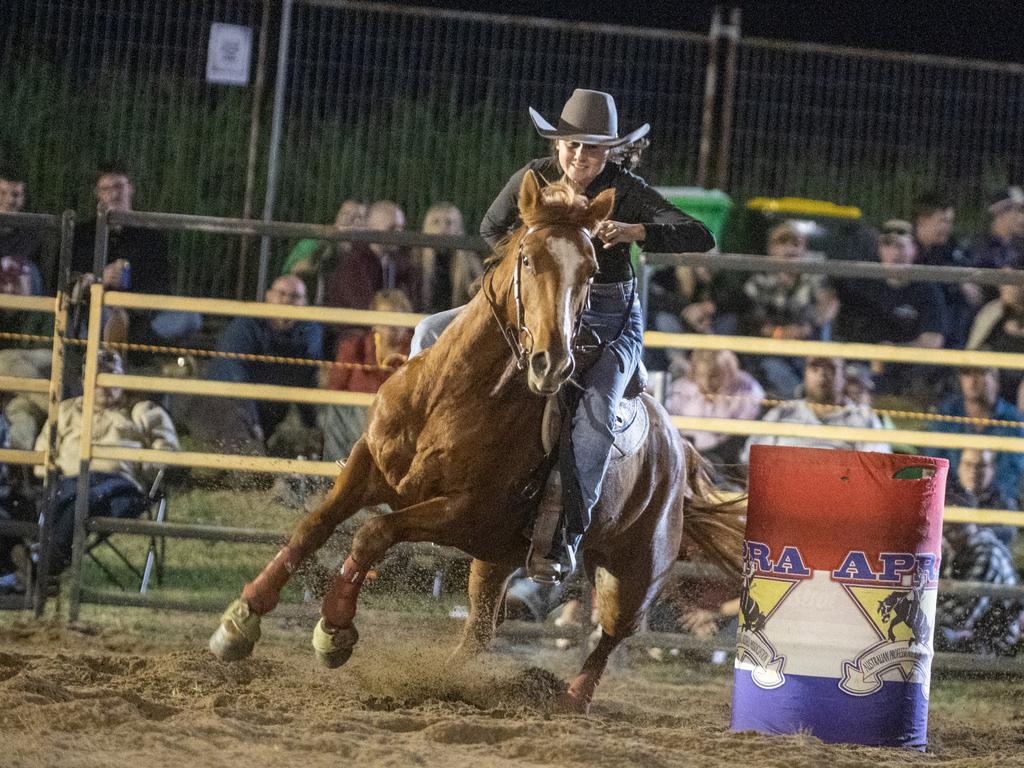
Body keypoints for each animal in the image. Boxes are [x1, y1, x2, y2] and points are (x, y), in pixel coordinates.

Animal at [209, 169, 745, 716]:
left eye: (592, 269)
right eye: (528, 258)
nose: (552, 362)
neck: (451, 396)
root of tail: (677, 447)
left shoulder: (463, 510)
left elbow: (373, 533)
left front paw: (334, 630)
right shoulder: (369, 466)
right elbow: (314, 525)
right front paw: (240, 621)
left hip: (637, 569)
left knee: (614, 633)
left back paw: (570, 698)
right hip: (496, 557)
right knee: (483, 629)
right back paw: (446, 681)